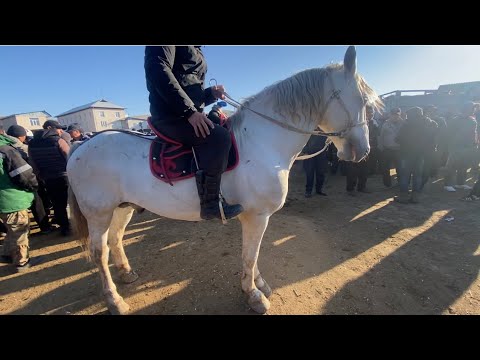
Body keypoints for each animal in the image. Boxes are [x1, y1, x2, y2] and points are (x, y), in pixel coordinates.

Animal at [67, 46, 382, 314]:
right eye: (363, 101)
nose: (363, 151)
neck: (261, 141)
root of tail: (80, 146)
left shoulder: (255, 218)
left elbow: (252, 254)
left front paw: (259, 284)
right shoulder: (257, 216)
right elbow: (251, 255)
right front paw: (253, 294)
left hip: (123, 208)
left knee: (115, 240)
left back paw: (126, 273)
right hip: (99, 213)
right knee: (99, 253)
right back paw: (115, 300)